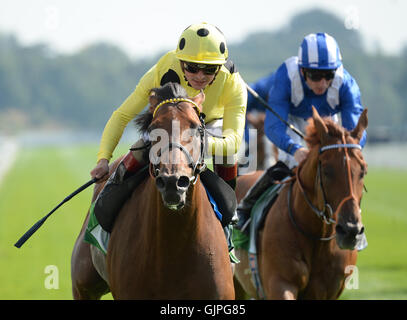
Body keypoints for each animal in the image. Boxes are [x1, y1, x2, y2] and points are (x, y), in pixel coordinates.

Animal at [233, 107, 370, 300]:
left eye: (363, 171)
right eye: (327, 170)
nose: (350, 230)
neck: (317, 236)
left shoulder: (326, 291)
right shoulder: (280, 283)